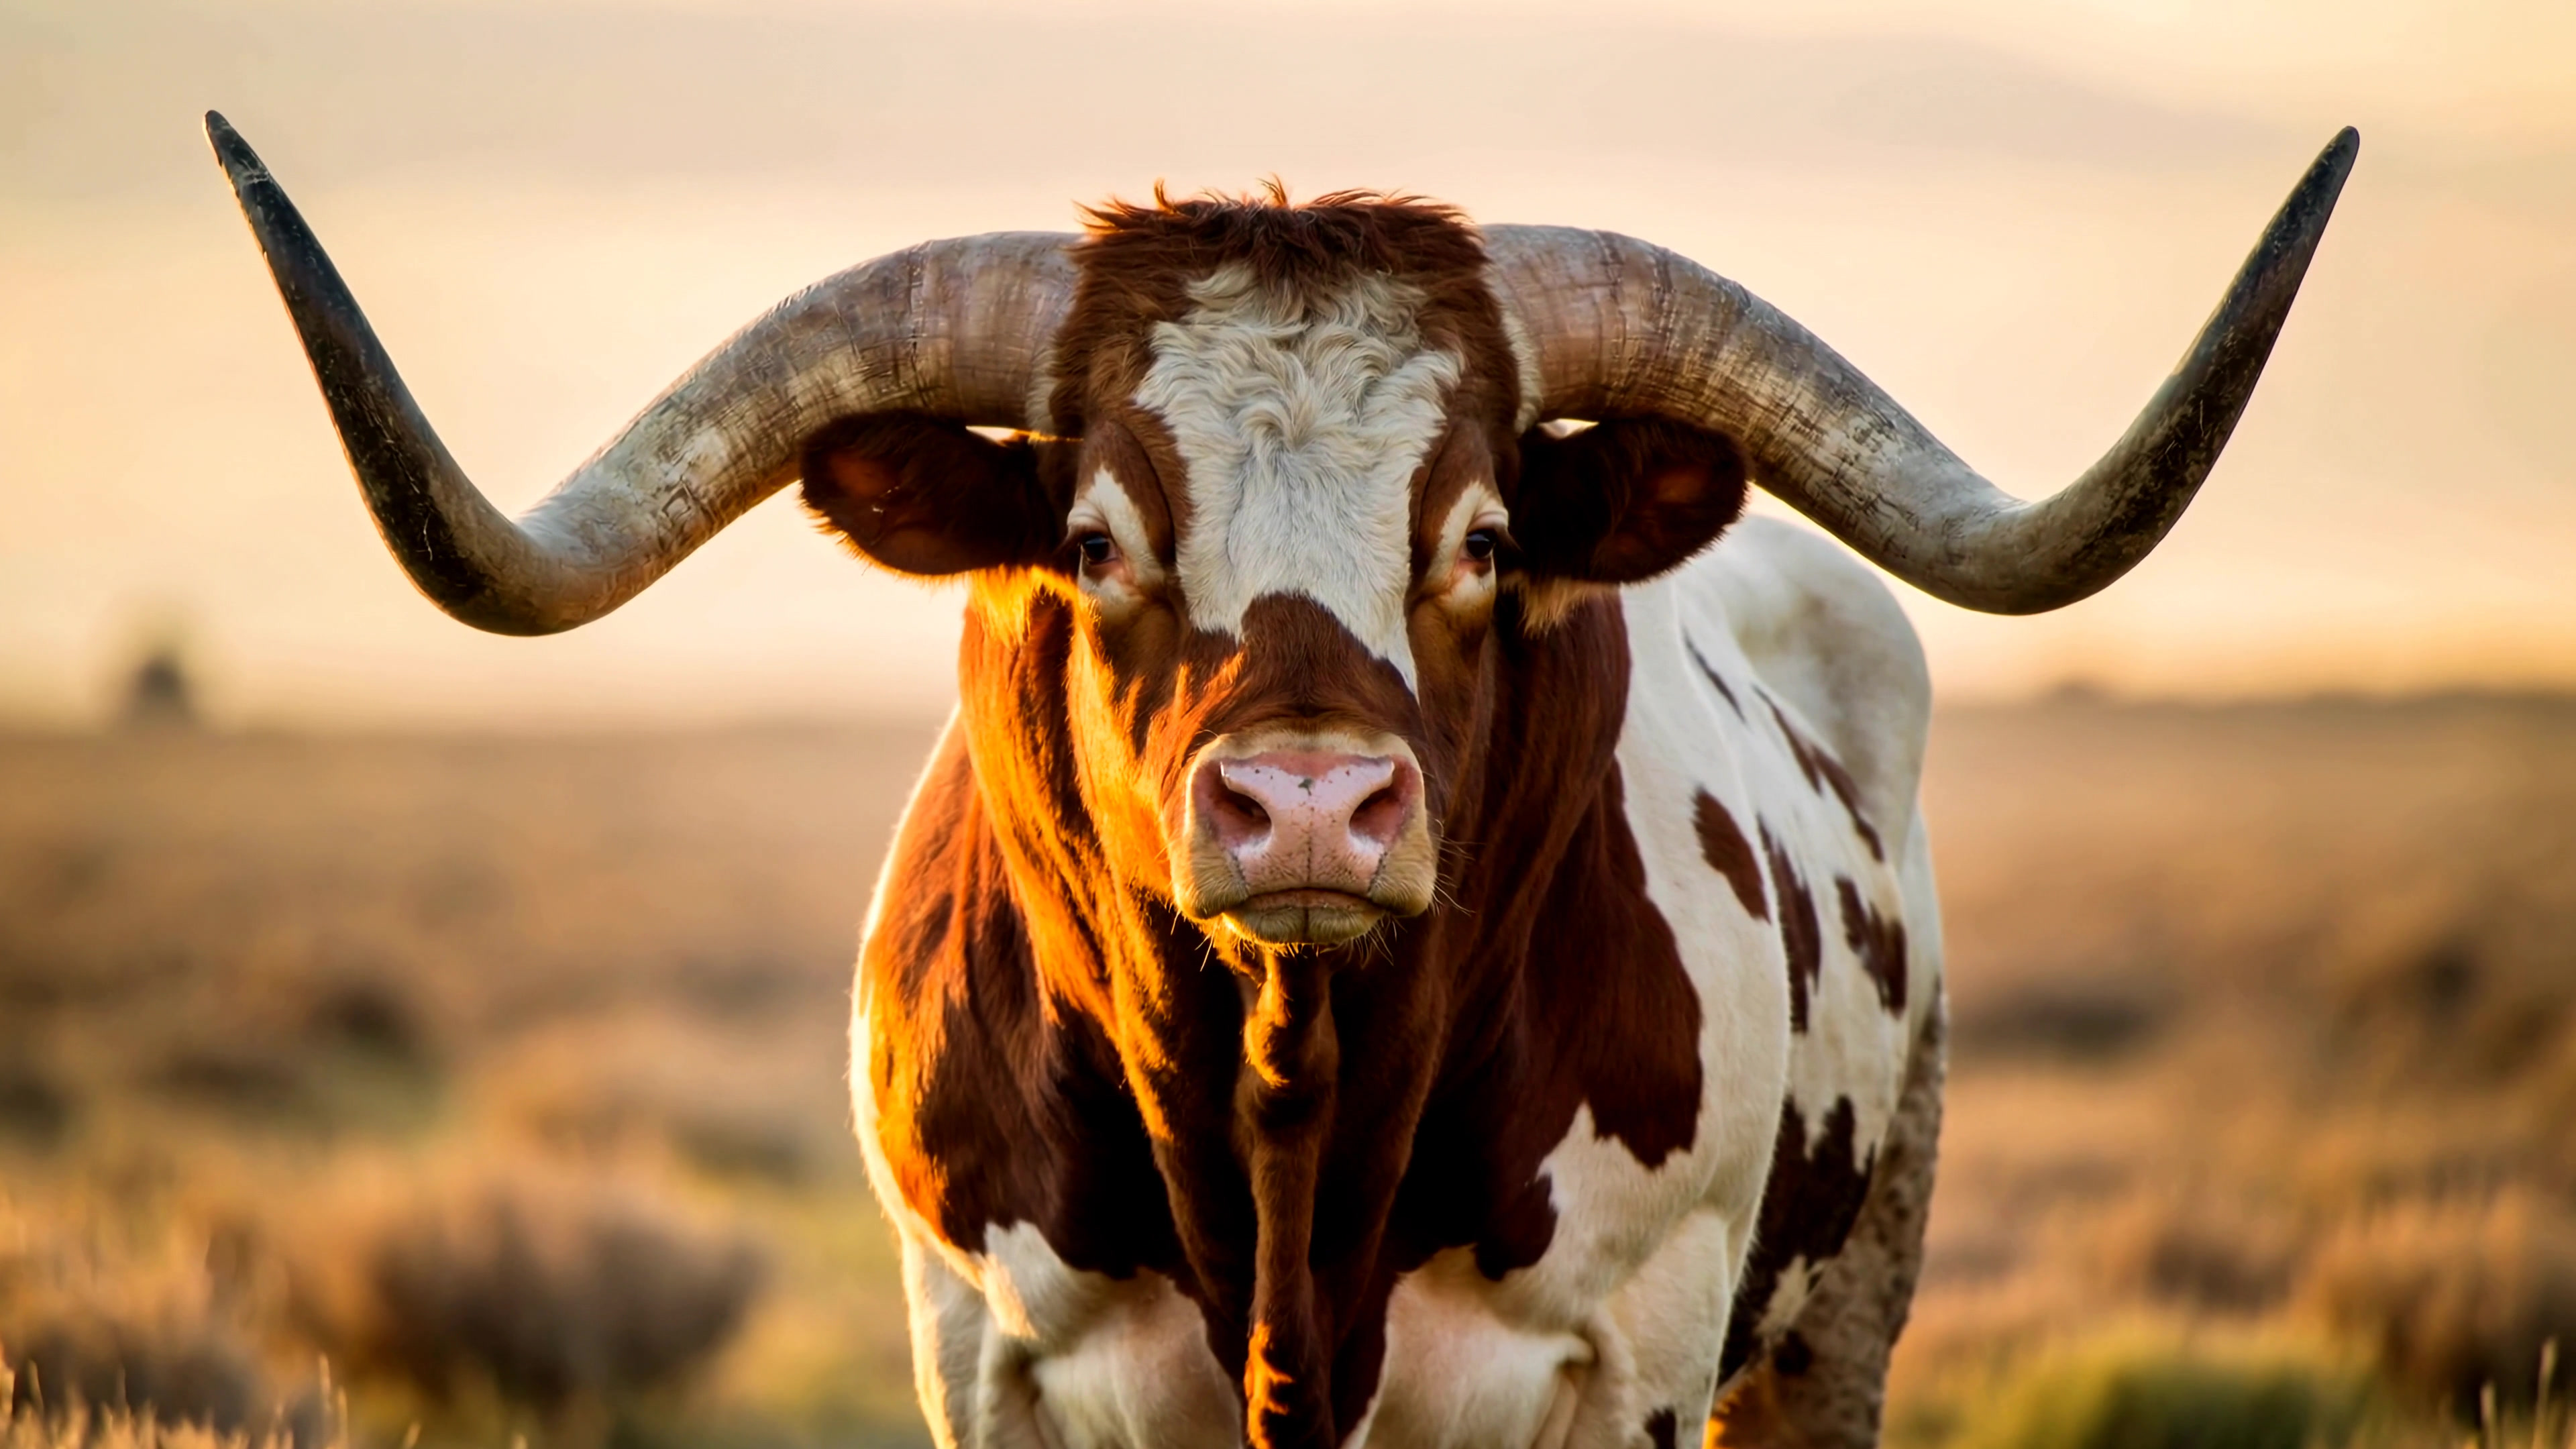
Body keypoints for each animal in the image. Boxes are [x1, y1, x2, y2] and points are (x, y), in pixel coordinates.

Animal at [207, 113, 2355, 1449]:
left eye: (1483, 536)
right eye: (1090, 540)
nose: (1312, 811)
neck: (1285, 1123)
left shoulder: (1637, 1353)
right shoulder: (983, 1355)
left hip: (1845, 1311)